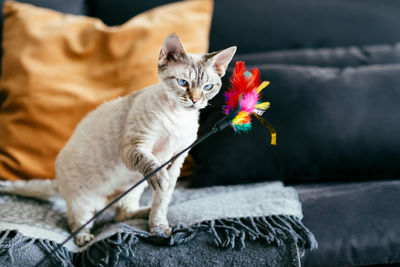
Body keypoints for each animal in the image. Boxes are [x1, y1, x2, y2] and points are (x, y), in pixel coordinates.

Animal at [0, 33, 236, 247]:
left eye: (208, 88)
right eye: (182, 82)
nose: (195, 100)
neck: (179, 118)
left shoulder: (177, 159)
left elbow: (163, 199)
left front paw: (159, 228)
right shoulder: (136, 146)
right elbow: (152, 165)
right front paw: (158, 183)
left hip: (134, 188)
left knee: (122, 214)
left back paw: (145, 212)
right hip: (82, 202)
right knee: (78, 223)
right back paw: (84, 238)